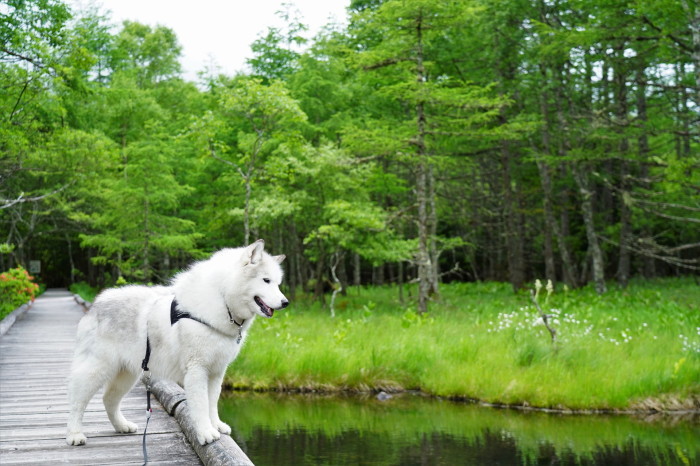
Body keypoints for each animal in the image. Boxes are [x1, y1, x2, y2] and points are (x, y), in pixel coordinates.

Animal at [64, 238, 286, 446]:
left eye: (277, 283)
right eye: (266, 280)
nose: (286, 303)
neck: (222, 299)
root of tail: (96, 304)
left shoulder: (216, 372)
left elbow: (212, 402)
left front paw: (216, 426)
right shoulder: (197, 370)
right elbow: (201, 405)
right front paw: (206, 433)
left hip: (127, 374)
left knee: (108, 399)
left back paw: (122, 426)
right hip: (96, 370)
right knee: (76, 402)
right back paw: (74, 435)